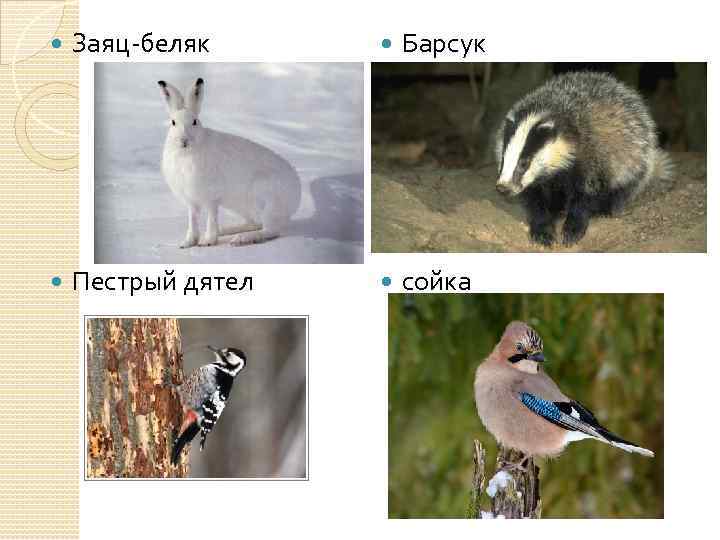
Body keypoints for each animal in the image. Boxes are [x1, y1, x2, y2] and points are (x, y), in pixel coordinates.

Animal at [158, 78, 301, 248]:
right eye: (173, 122)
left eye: (194, 122)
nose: (184, 141)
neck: (186, 154)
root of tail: (296, 197)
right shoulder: (191, 200)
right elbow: (192, 220)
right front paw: (187, 243)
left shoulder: (211, 197)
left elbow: (211, 218)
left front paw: (207, 241)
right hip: (244, 206)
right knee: (255, 223)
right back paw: (228, 231)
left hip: (266, 197)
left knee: (270, 230)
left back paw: (242, 239)